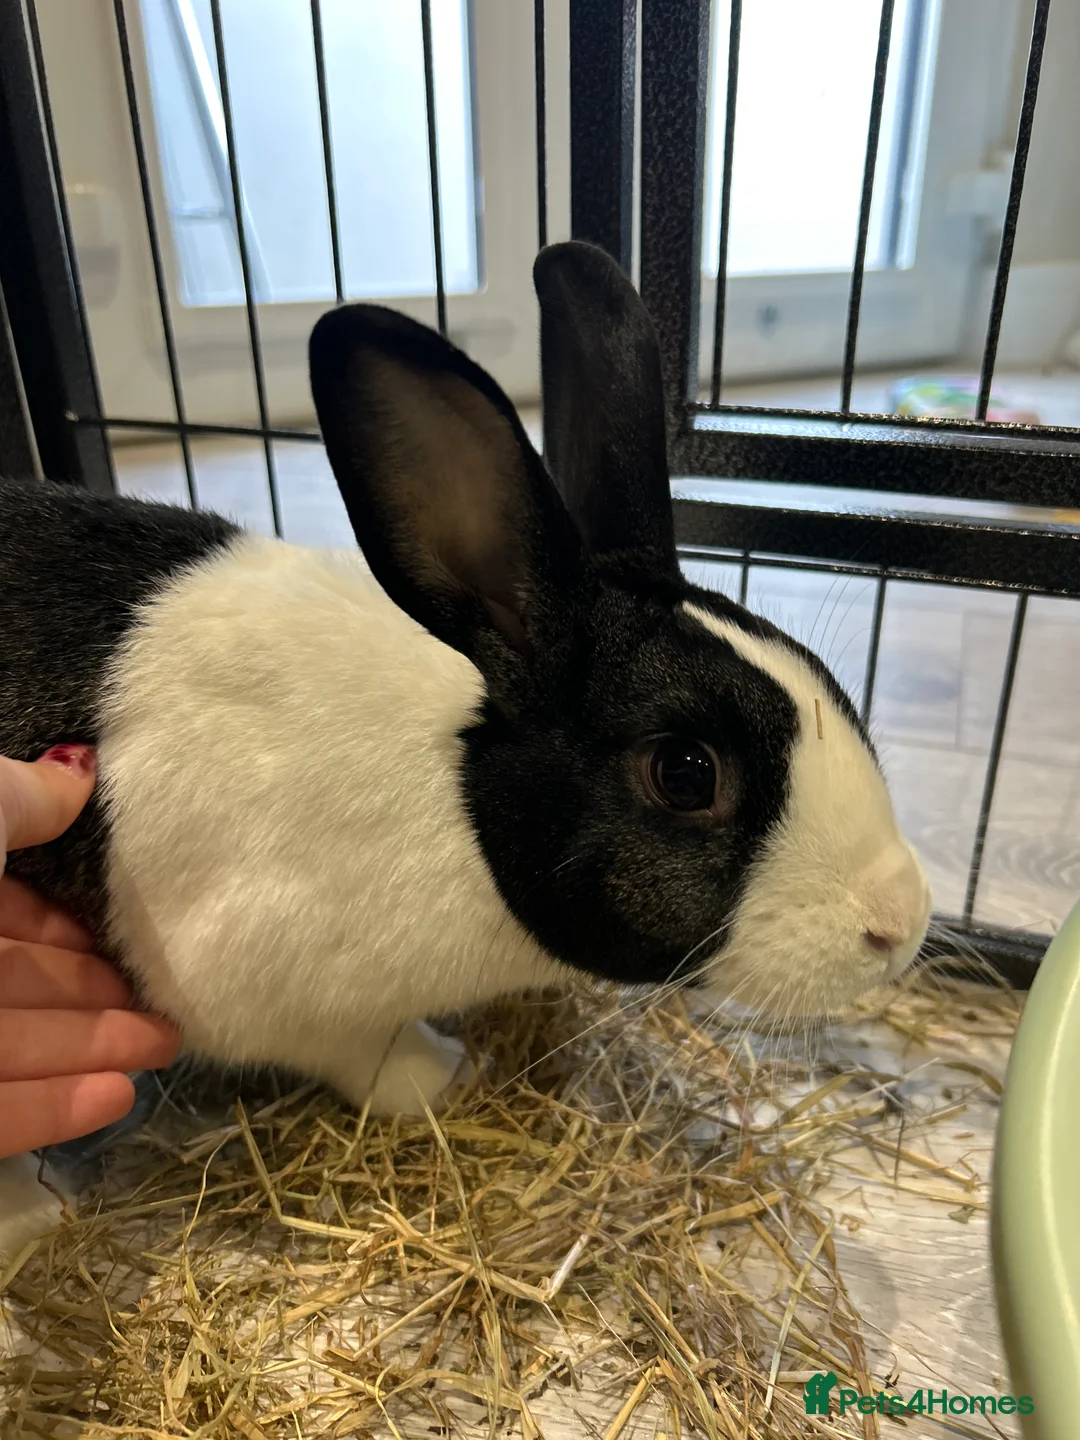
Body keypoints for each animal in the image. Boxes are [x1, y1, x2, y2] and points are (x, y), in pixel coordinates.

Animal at [0, 241, 931, 1118]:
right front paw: (442, 1076)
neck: (461, 803)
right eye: (686, 774)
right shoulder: (260, 984)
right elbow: (365, 1052)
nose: (903, 922)